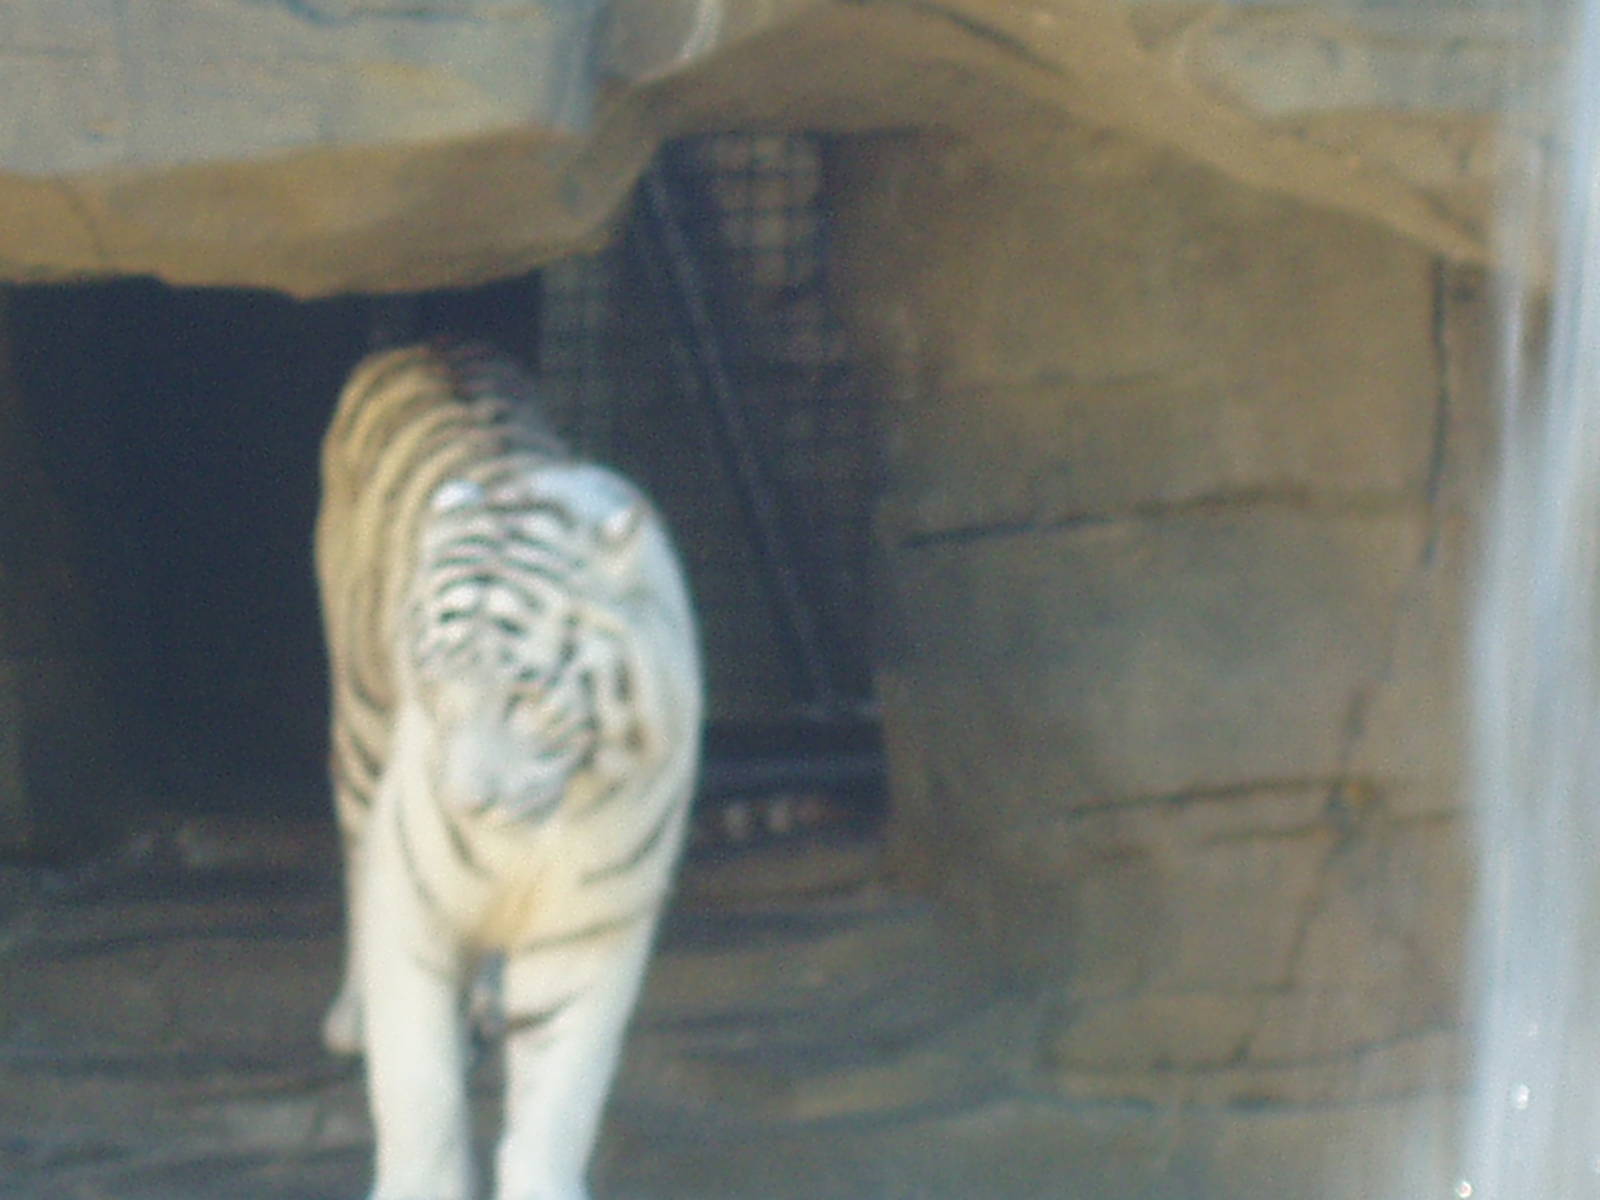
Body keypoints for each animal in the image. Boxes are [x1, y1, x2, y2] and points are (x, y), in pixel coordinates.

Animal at [314, 341, 703, 1200]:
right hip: (360, 723)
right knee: (354, 863)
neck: (538, 832)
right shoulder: (413, 904)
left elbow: (558, 1102)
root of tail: (425, 343)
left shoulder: (587, 929)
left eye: (526, 694)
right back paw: (353, 1014)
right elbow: (418, 1085)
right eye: (435, 682)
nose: (465, 804)